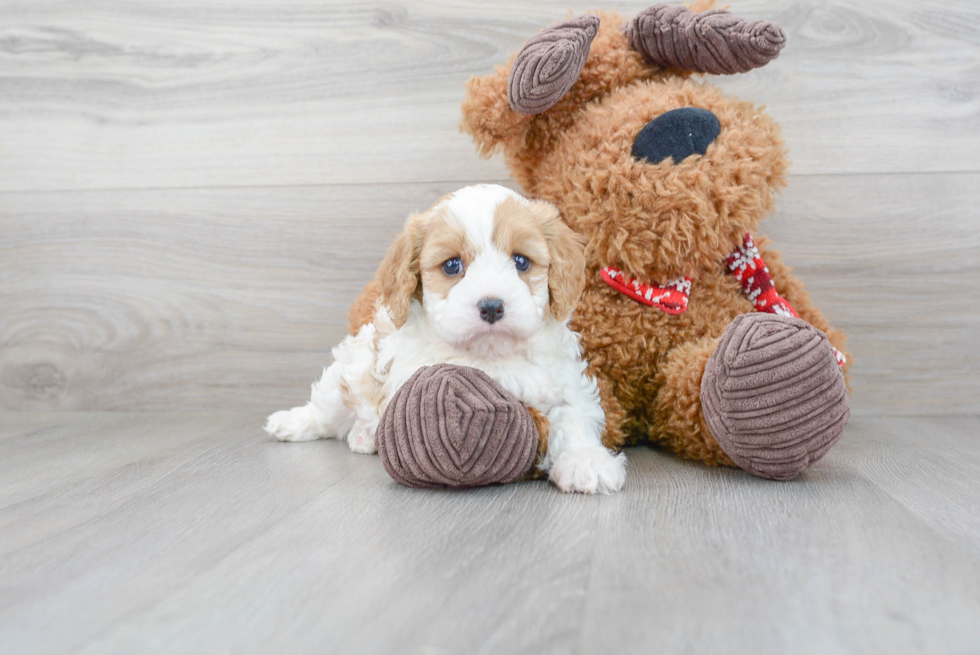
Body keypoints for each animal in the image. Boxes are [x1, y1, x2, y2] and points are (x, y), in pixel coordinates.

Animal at [264, 183, 624, 492]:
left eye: (521, 261)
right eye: (452, 265)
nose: (491, 307)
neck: (497, 348)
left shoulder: (569, 378)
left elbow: (574, 415)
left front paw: (586, 463)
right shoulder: (412, 368)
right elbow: (467, 361)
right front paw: (532, 380)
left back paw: (363, 436)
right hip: (350, 367)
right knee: (326, 410)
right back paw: (292, 422)